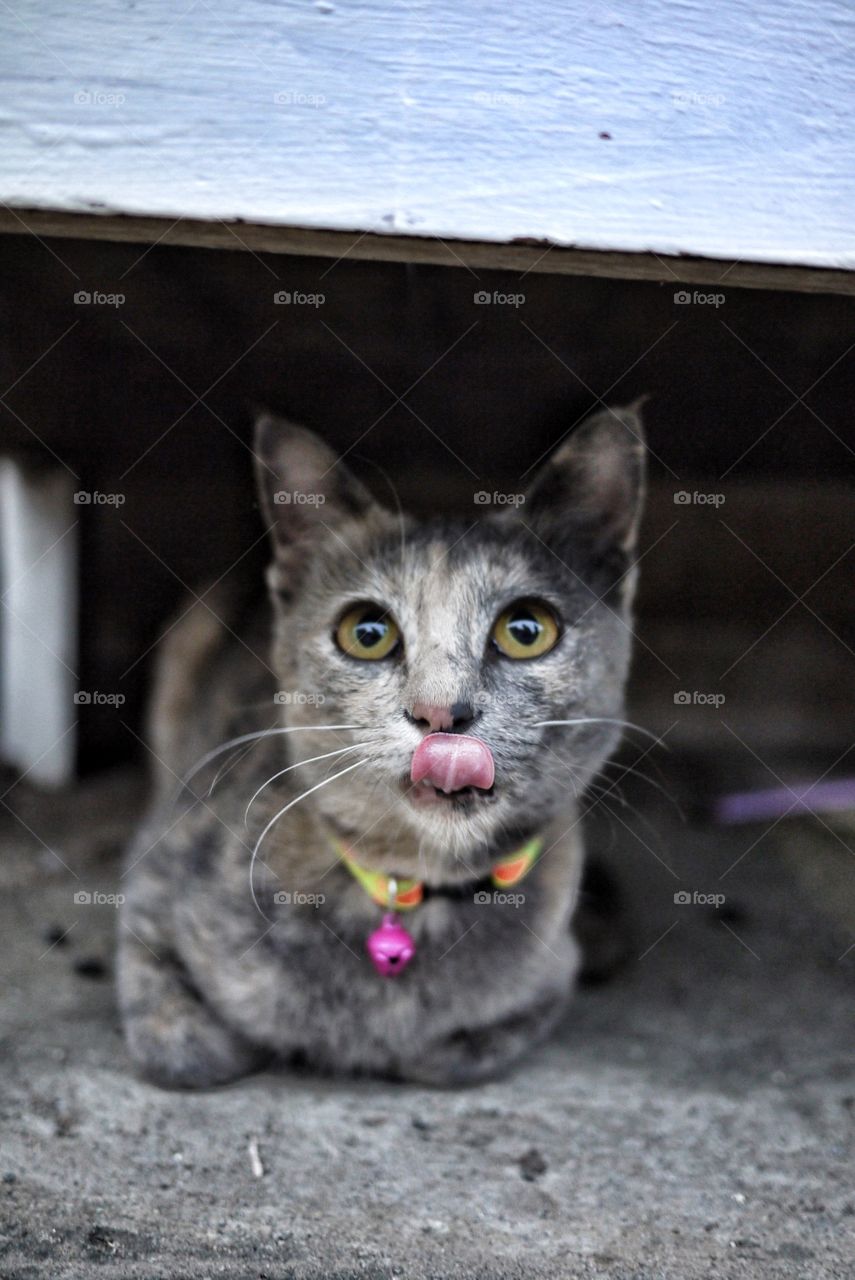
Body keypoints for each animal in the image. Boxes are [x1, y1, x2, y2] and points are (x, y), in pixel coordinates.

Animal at [117, 404, 645, 1085]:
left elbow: (451, 1049)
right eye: (366, 633)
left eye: (527, 630)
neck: (407, 886)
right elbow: (180, 1045)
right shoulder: (151, 877)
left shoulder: (548, 977)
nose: (441, 711)